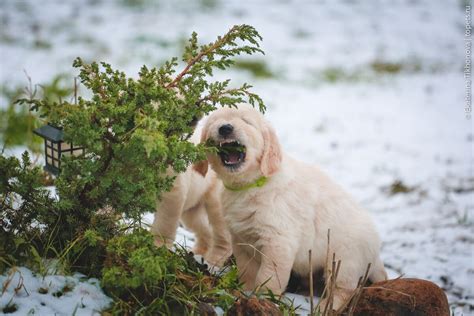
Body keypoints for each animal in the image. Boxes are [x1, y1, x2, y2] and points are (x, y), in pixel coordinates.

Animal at [152, 131, 231, 266]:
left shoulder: (173, 186)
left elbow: (165, 221)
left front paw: (157, 246)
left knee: (221, 228)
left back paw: (213, 262)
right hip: (193, 202)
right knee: (200, 225)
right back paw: (196, 254)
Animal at [194, 106, 386, 312]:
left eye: (246, 121)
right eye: (215, 122)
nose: (225, 128)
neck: (251, 185)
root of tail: (376, 252)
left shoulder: (278, 241)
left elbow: (269, 277)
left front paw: (264, 299)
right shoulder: (242, 241)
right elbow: (248, 271)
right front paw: (244, 292)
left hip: (345, 258)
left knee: (343, 289)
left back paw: (325, 306)